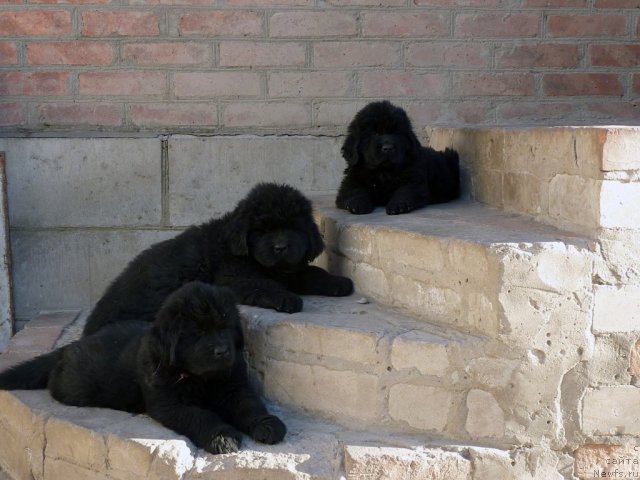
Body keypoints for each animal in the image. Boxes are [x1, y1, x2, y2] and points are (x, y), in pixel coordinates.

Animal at [0, 282, 286, 454]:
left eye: (225, 327)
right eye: (198, 332)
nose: (223, 351)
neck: (199, 378)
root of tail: (68, 346)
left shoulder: (234, 385)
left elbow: (249, 405)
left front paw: (268, 425)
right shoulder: (168, 403)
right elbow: (200, 416)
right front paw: (222, 437)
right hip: (75, 386)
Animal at [82, 182, 352, 336]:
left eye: (293, 227)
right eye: (262, 229)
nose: (280, 247)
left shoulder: (289, 270)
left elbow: (313, 273)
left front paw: (339, 282)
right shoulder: (234, 277)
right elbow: (263, 284)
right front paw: (286, 298)